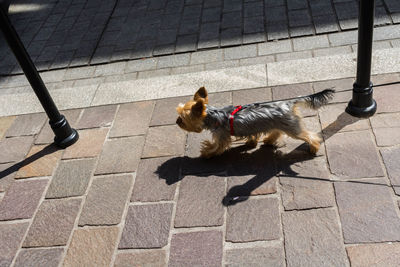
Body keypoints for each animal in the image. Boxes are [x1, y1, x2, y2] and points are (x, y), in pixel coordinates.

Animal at [176, 87, 334, 158]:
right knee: (277, 131)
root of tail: (288, 103)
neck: (214, 115)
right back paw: (269, 140)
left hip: (291, 127)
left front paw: (206, 152)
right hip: (281, 122)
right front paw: (251, 143)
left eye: (182, 119)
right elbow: (252, 136)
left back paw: (314, 148)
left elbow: (216, 146)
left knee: (309, 136)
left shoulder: (222, 136)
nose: (177, 121)